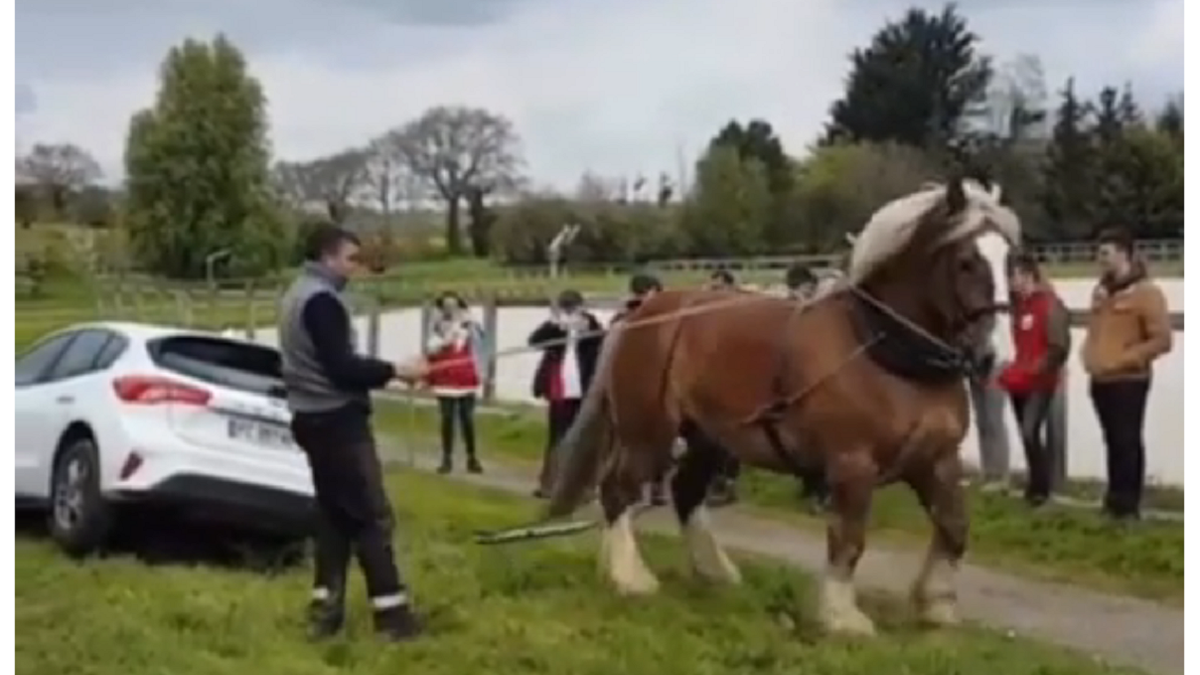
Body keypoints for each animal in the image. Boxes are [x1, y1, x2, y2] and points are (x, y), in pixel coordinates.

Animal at [547, 176, 1022, 634]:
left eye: (1010, 261)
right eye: (966, 261)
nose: (997, 357)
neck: (887, 355)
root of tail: (641, 312)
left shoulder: (936, 460)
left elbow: (955, 528)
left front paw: (936, 604)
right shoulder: (852, 464)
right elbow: (849, 538)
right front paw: (840, 615)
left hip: (708, 436)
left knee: (685, 492)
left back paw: (714, 571)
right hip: (648, 430)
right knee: (618, 490)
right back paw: (629, 576)